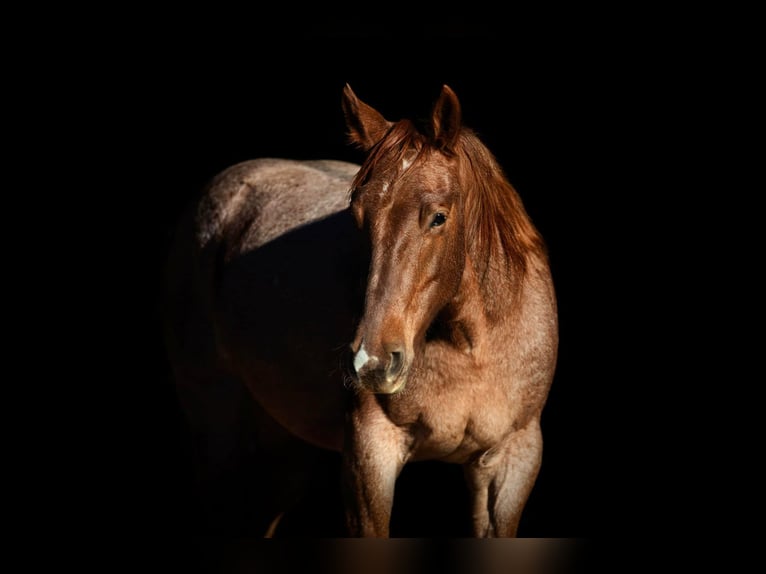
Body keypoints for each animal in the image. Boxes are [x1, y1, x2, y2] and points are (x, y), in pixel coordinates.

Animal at [162, 83, 558, 537]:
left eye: (439, 217)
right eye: (359, 218)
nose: (372, 363)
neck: (473, 348)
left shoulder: (511, 461)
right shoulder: (370, 458)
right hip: (219, 437)